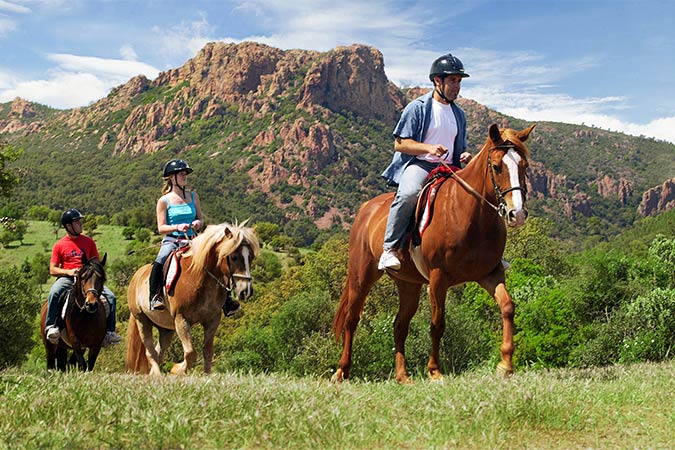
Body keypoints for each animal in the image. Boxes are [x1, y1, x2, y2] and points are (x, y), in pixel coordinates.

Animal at [125, 222, 260, 376]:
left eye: (251, 257)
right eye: (234, 257)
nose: (246, 291)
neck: (198, 278)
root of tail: (136, 276)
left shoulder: (212, 319)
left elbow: (208, 351)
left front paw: (206, 375)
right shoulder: (181, 319)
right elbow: (190, 353)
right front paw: (177, 370)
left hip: (166, 328)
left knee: (159, 352)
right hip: (142, 321)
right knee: (150, 352)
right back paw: (158, 375)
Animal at [330, 123, 536, 384]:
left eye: (524, 166)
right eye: (497, 166)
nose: (516, 214)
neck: (470, 215)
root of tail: (367, 208)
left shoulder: (490, 274)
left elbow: (508, 307)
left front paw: (506, 364)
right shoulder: (438, 278)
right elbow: (437, 324)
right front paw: (435, 371)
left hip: (408, 284)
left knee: (399, 326)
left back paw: (402, 376)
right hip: (361, 276)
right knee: (351, 319)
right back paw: (342, 371)